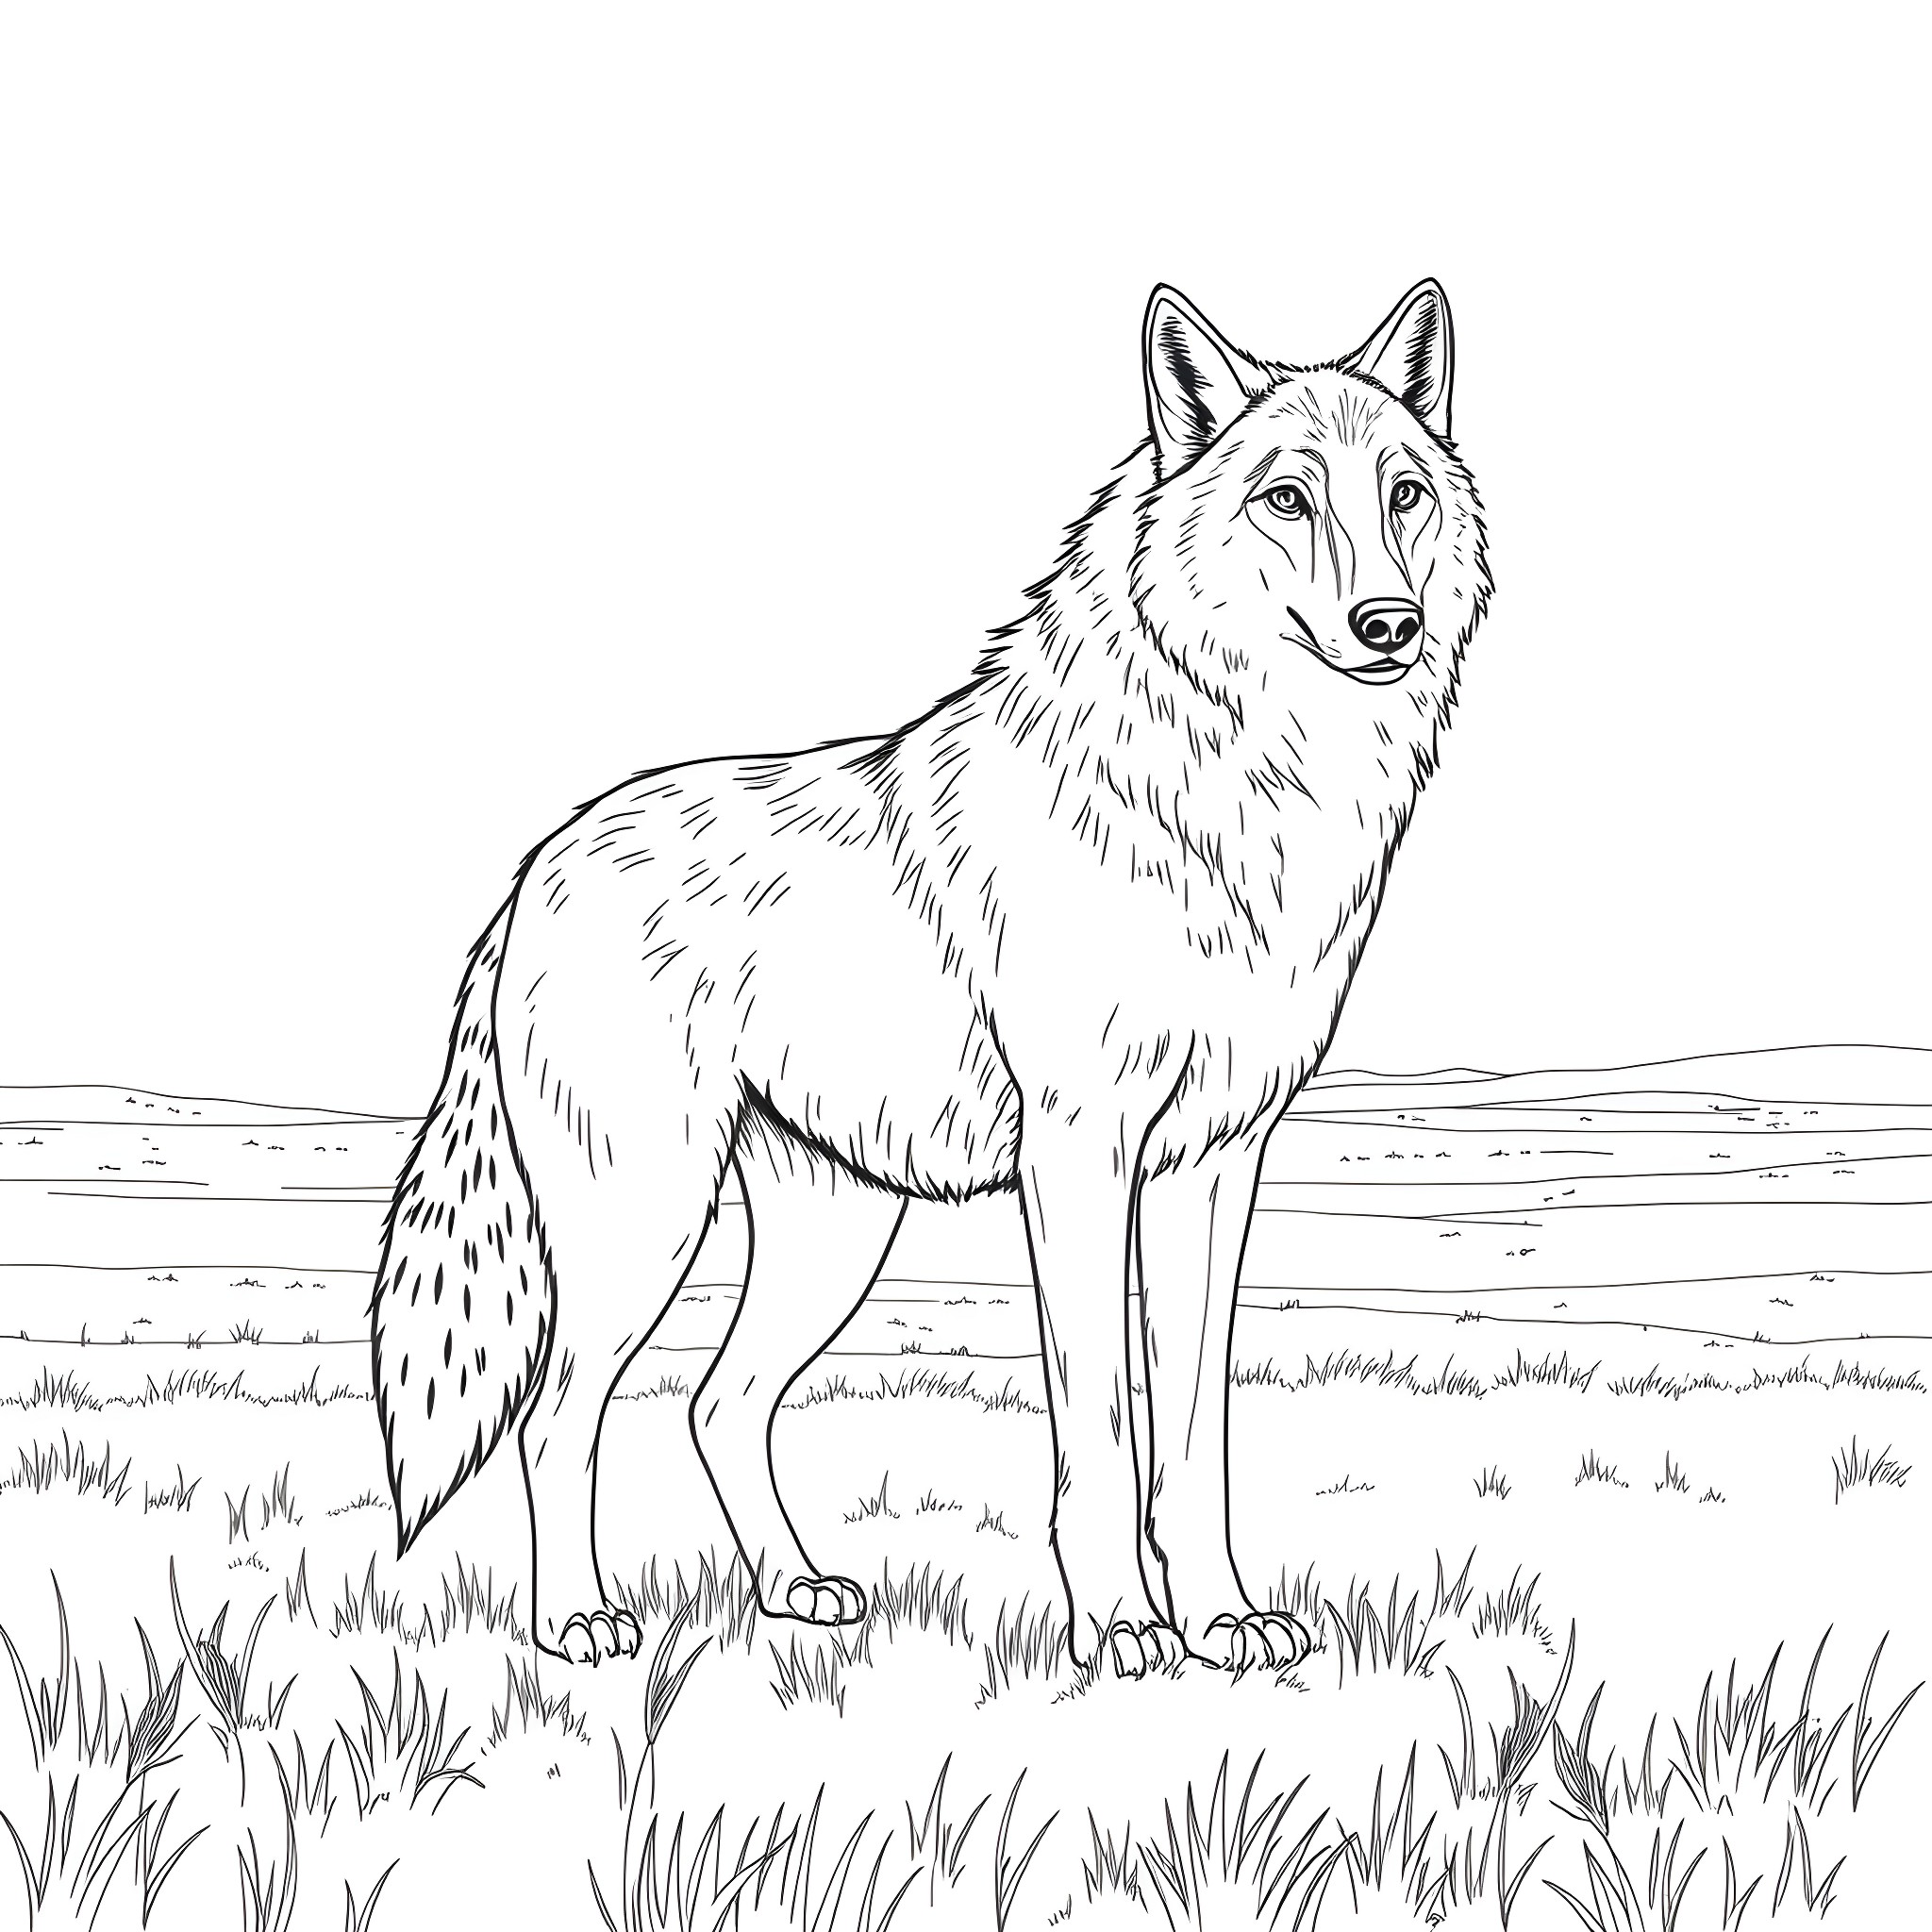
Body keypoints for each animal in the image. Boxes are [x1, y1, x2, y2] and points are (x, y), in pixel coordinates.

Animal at [372, 279, 1491, 1675]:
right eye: (1286, 498)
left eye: (1404, 493)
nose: (1390, 624)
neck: (1237, 798)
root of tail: (534, 869)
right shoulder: (1083, 1152)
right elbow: (1100, 1433)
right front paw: (1120, 1628)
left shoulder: (1216, 1163)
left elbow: (1194, 1442)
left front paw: (1221, 1618)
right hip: (646, 1222)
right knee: (559, 1412)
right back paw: (575, 1617)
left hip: (832, 1239)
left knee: (719, 1403)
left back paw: (796, 1592)